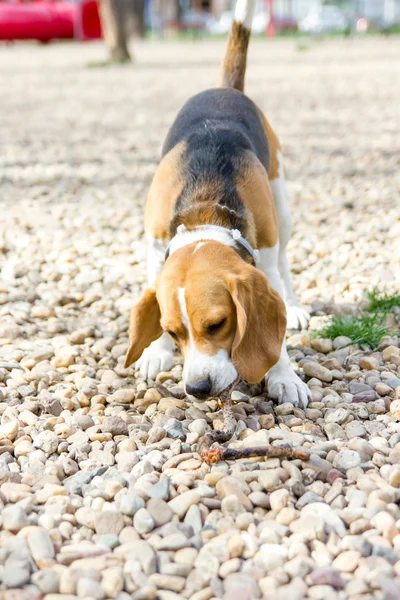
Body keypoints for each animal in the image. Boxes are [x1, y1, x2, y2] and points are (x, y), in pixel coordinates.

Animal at [123, 0, 310, 408]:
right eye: (173, 332)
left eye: (217, 324)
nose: (197, 388)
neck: (205, 210)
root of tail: (225, 89)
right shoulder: (154, 245)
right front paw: (156, 352)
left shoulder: (264, 259)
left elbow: (277, 330)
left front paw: (283, 375)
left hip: (283, 210)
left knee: (286, 263)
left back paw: (295, 307)